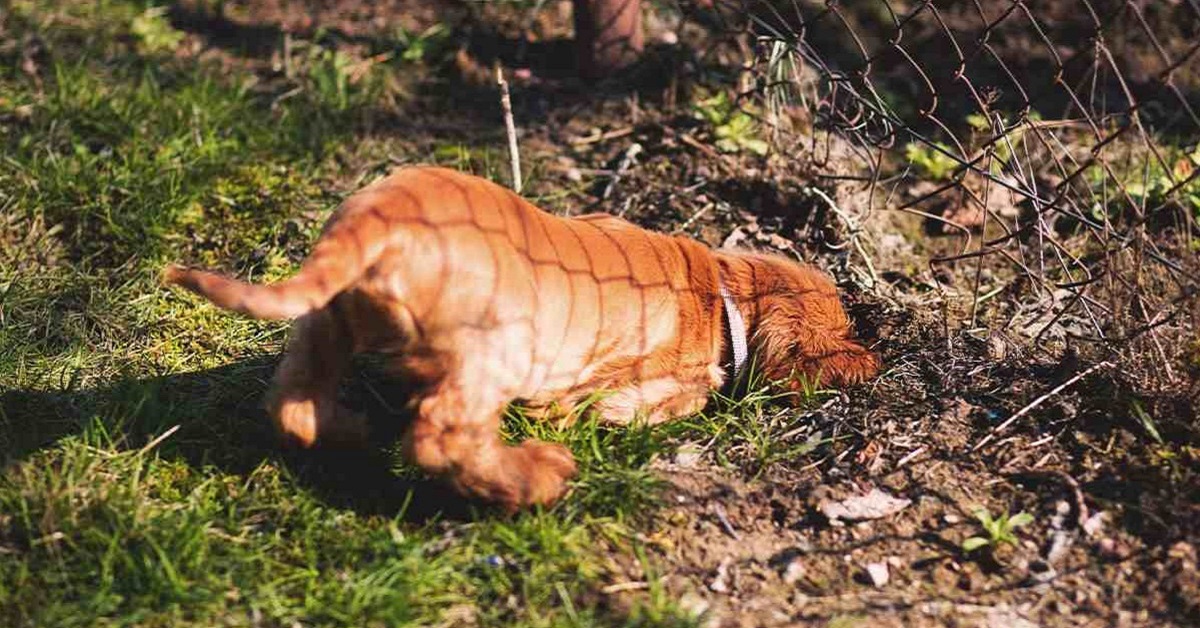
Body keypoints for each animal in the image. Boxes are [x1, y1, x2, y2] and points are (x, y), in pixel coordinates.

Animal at [166, 165, 883, 511]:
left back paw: (355, 429)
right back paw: (537, 478)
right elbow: (679, 396)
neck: (723, 290)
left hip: (326, 320)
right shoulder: (660, 381)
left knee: (293, 403)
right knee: (442, 436)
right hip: (494, 349)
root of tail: (379, 219)